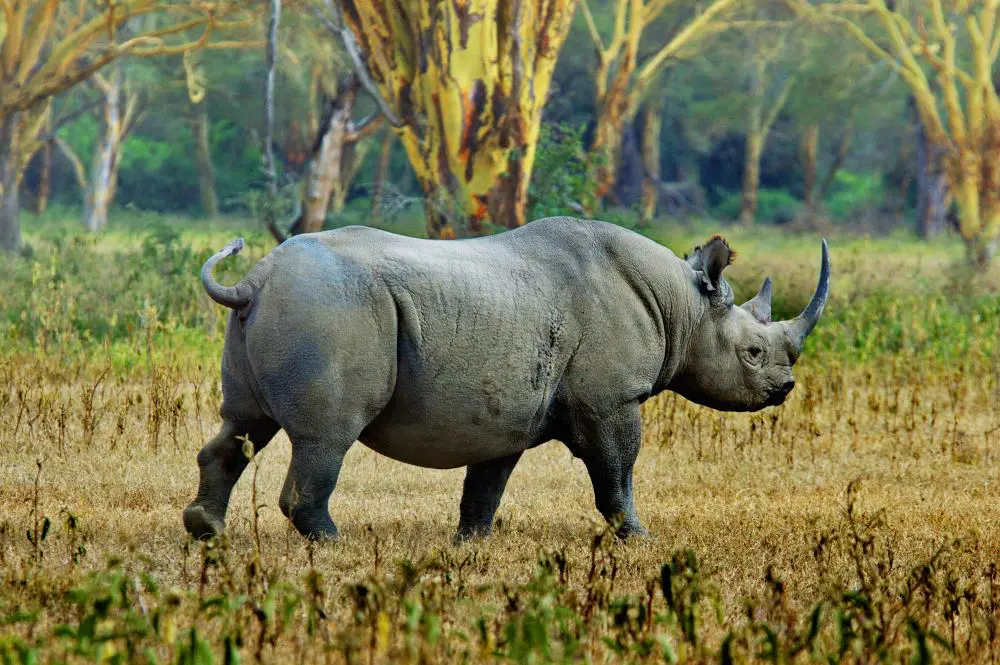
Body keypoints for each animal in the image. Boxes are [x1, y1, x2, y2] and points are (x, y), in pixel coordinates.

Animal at [183, 218, 829, 542]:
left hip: (282, 309)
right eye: (752, 353)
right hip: (330, 307)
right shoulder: (612, 400)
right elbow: (617, 473)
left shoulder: (507, 413)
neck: (683, 306)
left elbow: (487, 484)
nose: (785, 390)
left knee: (243, 425)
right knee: (327, 437)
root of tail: (254, 281)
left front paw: (471, 544)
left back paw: (205, 531)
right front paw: (639, 539)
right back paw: (335, 544)